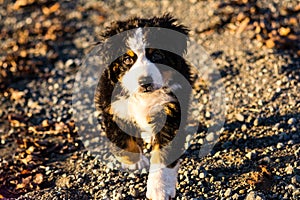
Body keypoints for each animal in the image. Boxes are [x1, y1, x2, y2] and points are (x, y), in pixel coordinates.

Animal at [95, 14, 195, 199]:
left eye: (157, 55)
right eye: (127, 59)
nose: (145, 82)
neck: (145, 97)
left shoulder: (171, 111)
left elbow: (162, 155)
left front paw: (159, 189)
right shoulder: (112, 104)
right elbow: (121, 136)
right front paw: (135, 162)